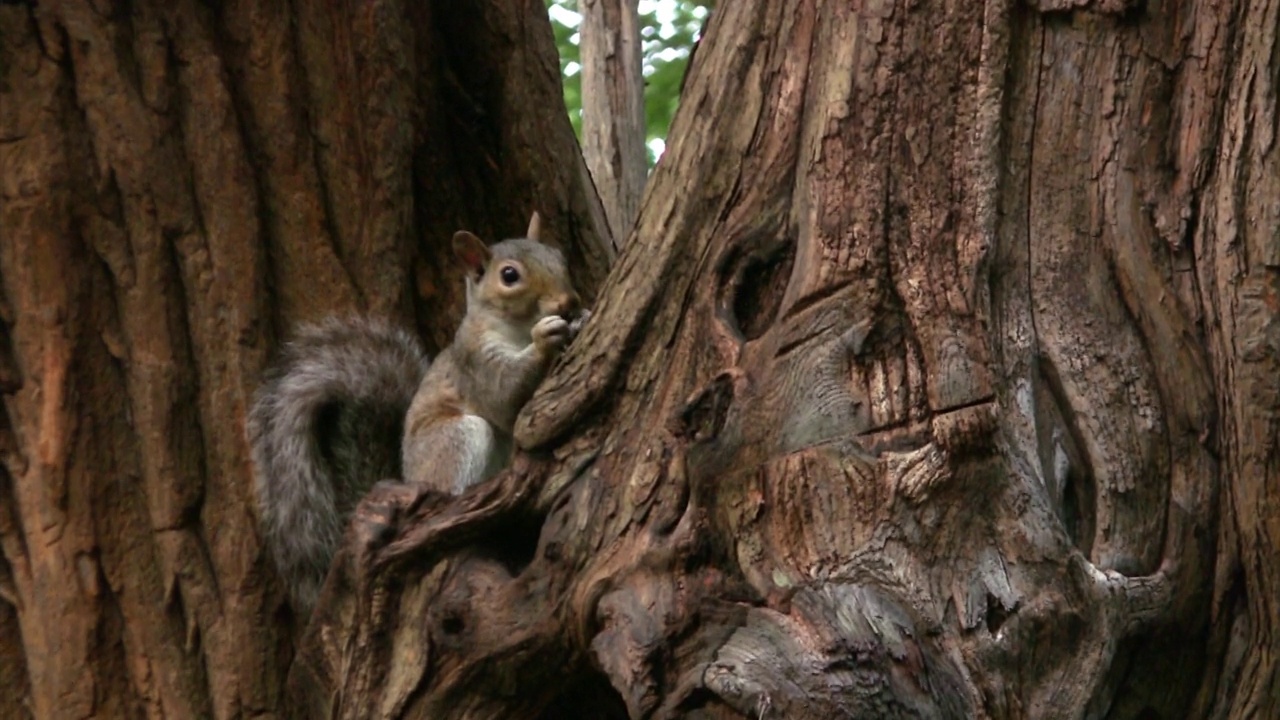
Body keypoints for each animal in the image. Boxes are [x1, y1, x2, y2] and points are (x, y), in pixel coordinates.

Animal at [244, 212, 586, 609]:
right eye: (509, 275)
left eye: (557, 256)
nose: (569, 301)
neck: (514, 329)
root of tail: (406, 480)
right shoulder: (475, 365)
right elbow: (505, 398)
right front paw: (544, 339)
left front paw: (583, 317)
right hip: (455, 439)